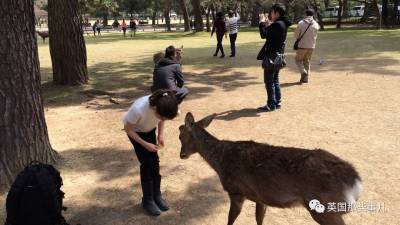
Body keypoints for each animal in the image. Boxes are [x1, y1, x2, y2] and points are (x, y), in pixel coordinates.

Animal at [178, 113, 362, 225]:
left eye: (180, 135)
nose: (182, 155)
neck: (220, 162)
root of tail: (357, 182)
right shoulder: (260, 198)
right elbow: (259, 219)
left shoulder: (236, 191)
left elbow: (230, 220)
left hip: (325, 209)